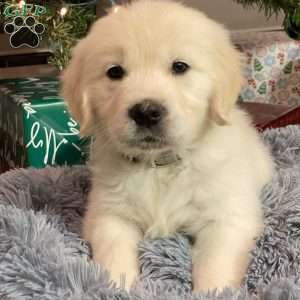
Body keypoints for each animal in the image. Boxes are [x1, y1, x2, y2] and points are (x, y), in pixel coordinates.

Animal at [62, 0, 274, 292]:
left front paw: (211, 292)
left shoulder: (228, 218)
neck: (160, 165)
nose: (146, 112)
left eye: (180, 67)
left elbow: (216, 263)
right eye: (114, 72)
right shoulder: (109, 212)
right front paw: (116, 287)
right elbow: (114, 250)